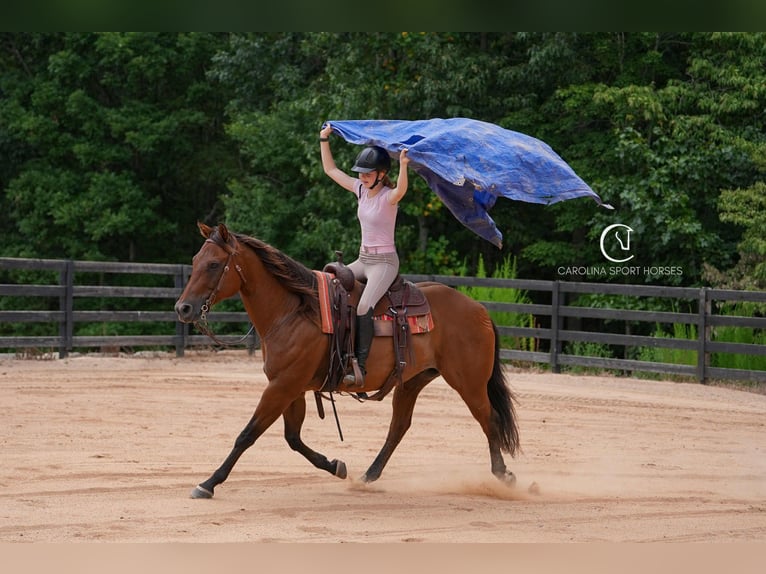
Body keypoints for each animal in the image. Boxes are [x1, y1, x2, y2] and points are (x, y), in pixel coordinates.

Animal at [174, 222, 520, 499]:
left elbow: (247, 435)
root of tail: (478, 308)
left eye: (214, 264)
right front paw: (335, 465)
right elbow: (293, 438)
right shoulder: (291, 389)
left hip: (468, 382)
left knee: (489, 419)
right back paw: (367, 476)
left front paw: (209, 483)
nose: (183, 308)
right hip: (411, 382)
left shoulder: (282, 387)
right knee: (399, 426)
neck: (294, 312)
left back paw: (504, 476)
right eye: (195, 261)